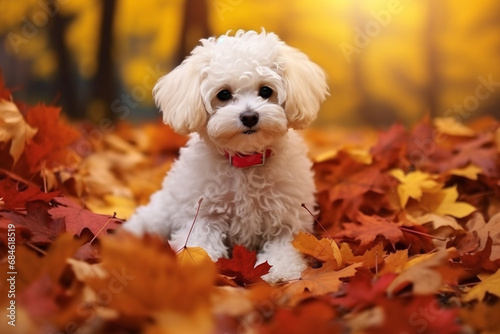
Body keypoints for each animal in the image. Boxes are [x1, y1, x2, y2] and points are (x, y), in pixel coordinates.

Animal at [124, 30, 328, 284]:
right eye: (223, 94)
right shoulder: (203, 214)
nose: (249, 116)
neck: (246, 160)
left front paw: (279, 270)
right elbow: (199, 244)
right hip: (161, 212)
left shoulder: (288, 219)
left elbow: (284, 247)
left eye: (266, 91)